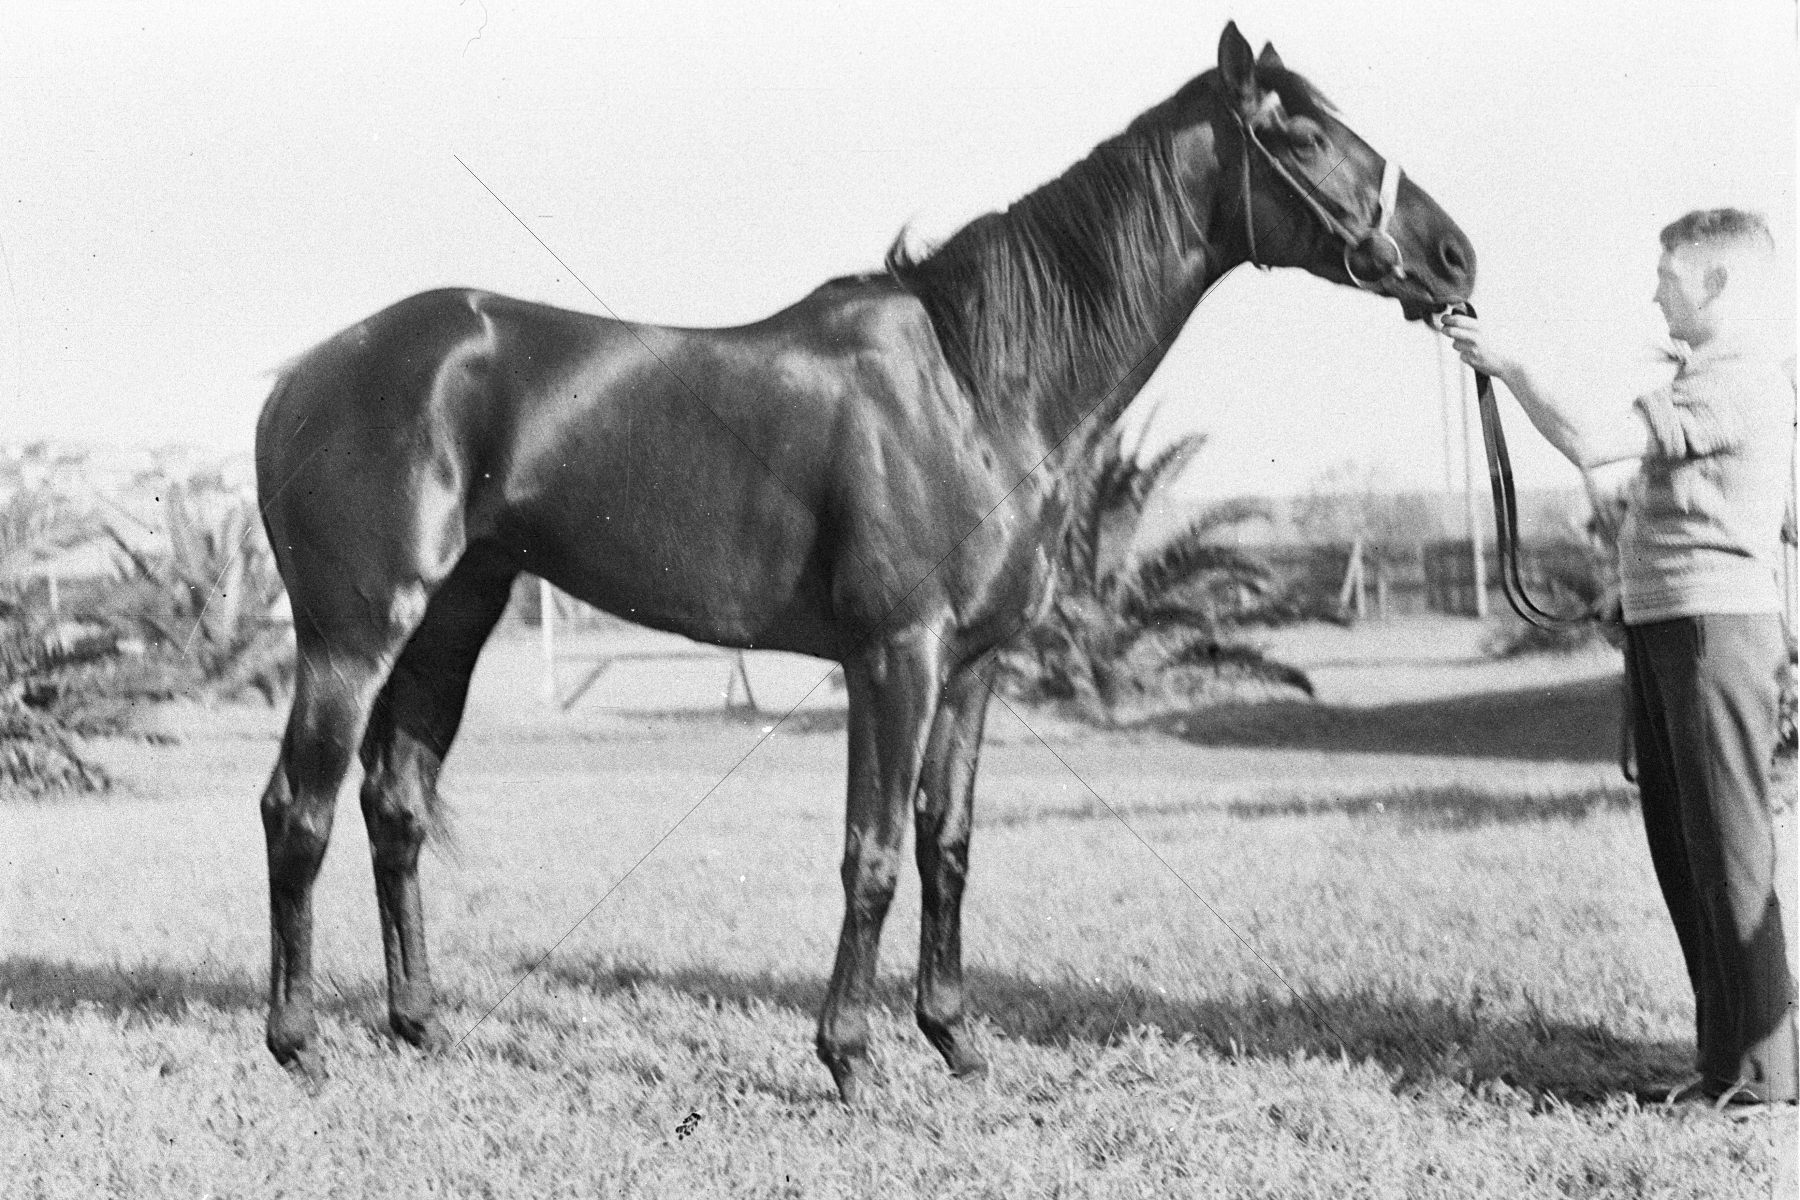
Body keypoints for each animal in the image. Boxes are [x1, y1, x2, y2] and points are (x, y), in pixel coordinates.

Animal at [254, 21, 1476, 1104]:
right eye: (1301, 133)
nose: (1455, 254)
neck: (977, 382)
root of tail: (298, 375)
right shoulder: (896, 657)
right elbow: (874, 851)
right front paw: (849, 1058)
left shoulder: (973, 666)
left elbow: (948, 844)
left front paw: (956, 1042)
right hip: (354, 634)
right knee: (297, 811)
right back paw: (297, 1045)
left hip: (451, 620)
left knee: (396, 803)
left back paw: (417, 1025)